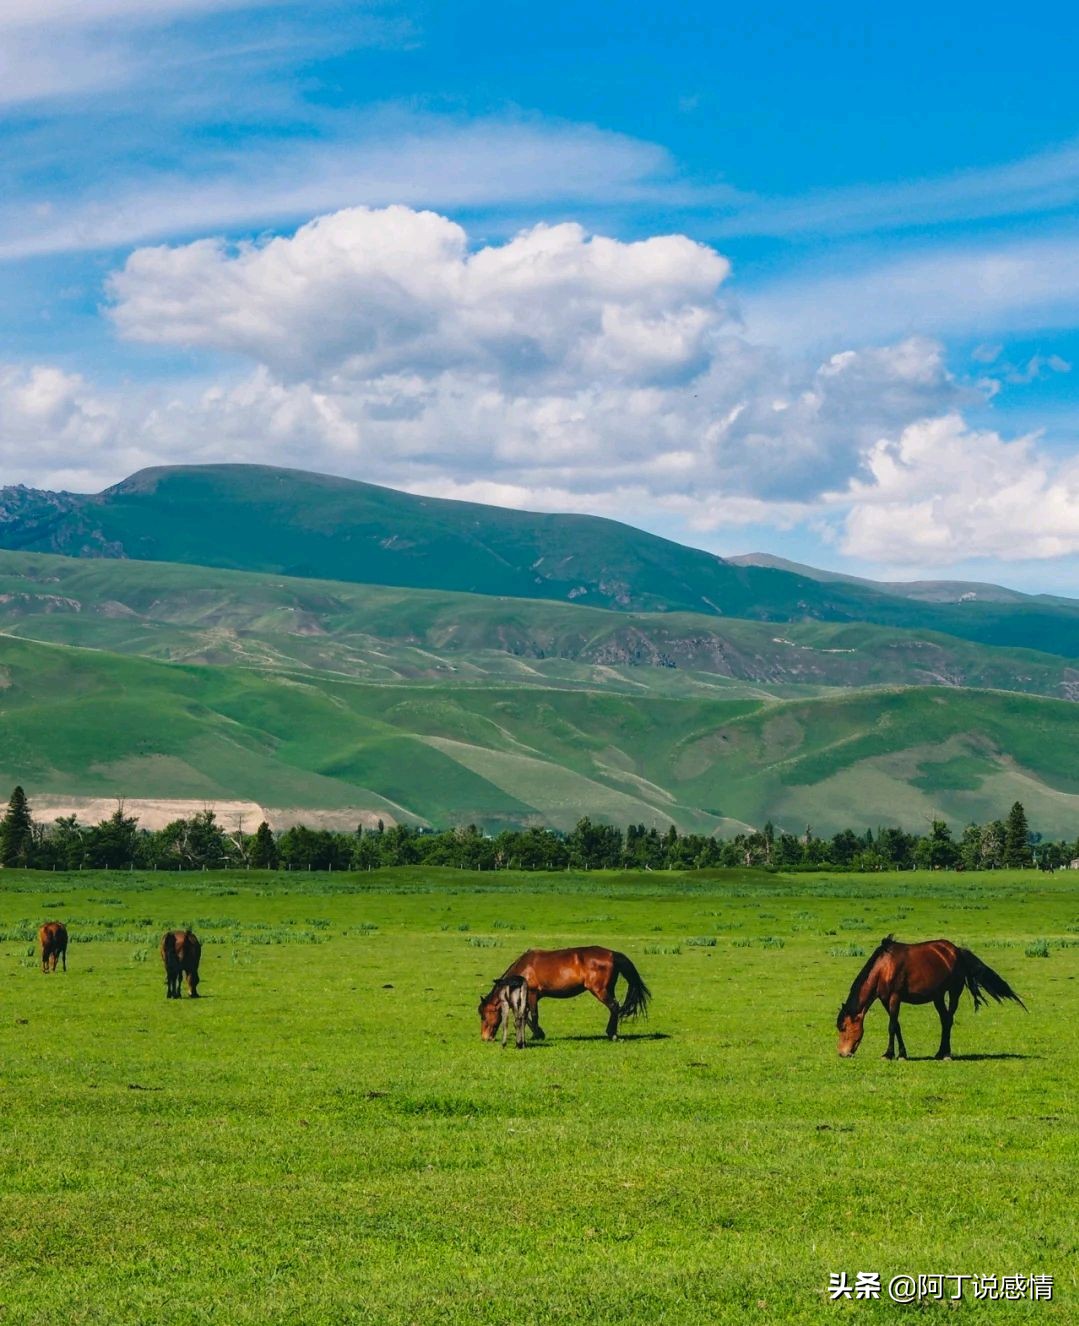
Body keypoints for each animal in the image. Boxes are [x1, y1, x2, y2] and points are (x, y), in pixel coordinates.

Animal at [482, 944, 649, 1044]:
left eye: (483, 1016)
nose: (485, 1037)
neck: (524, 969)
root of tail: (612, 954)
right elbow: (526, 1015)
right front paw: (539, 1033)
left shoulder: (532, 994)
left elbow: (533, 1015)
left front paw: (537, 1036)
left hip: (600, 991)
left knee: (614, 1006)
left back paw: (612, 1034)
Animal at [837, 938, 1028, 1060]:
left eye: (844, 1027)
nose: (842, 1053)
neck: (884, 968)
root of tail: (957, 950)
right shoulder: (885, 1000)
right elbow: (896, 1026)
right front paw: (902, 1054)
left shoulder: (895, 998)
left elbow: (891, 1026)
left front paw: (889, 1054)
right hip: (938, 996)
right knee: (944, 1019)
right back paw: (939, 1052)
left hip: (954, 991)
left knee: (949, 1019)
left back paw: (947, 1054)